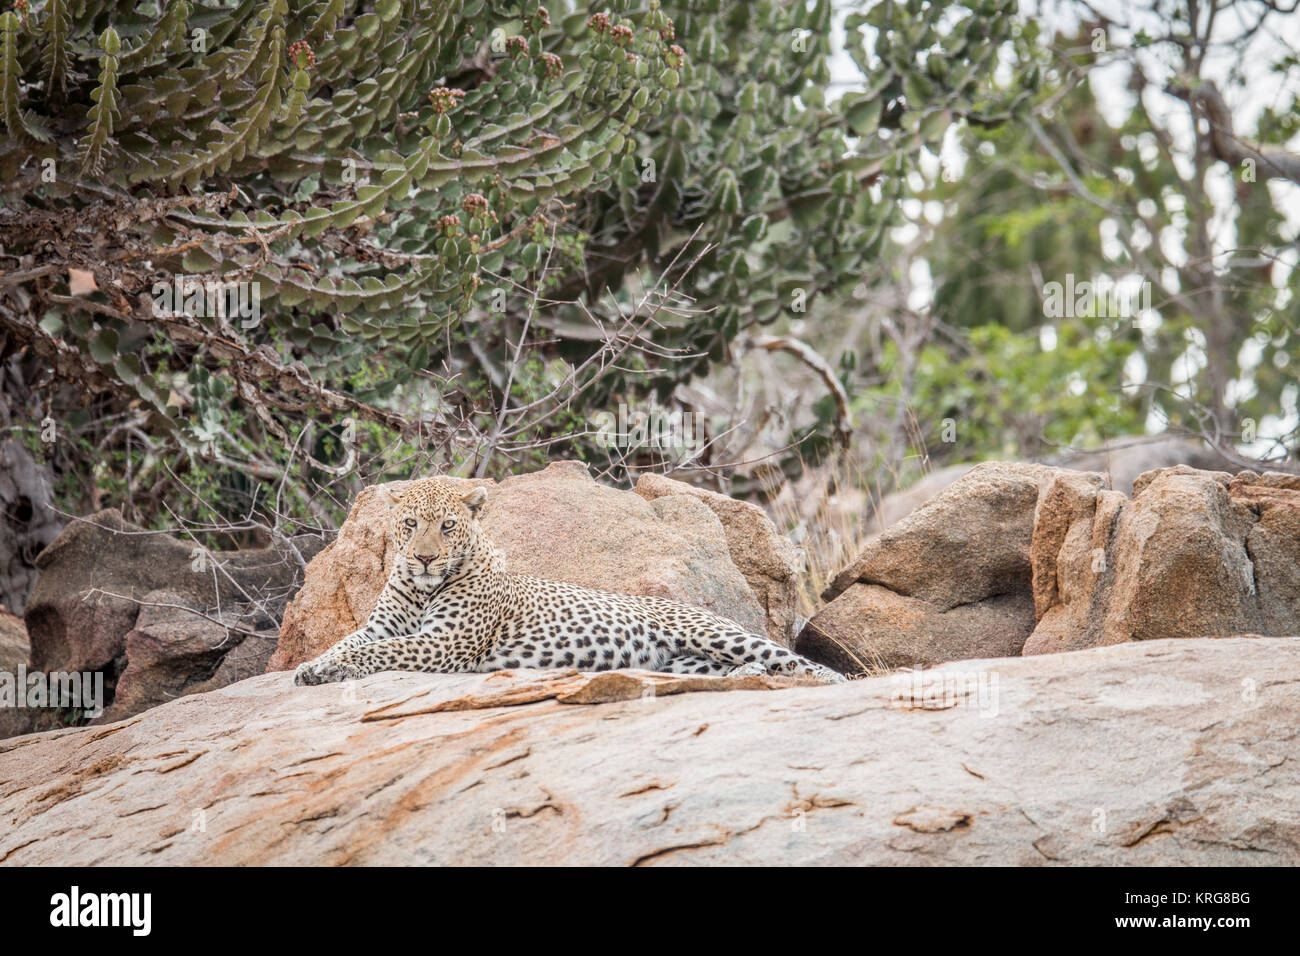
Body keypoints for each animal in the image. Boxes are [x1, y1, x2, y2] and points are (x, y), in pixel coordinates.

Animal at [293, 477, 847, 686]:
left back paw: (813, 678)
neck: (424, 586)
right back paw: (746, 676)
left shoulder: (444, 643)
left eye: (447, 526)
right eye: (410, 524)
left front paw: (331, 668)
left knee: (805, 664)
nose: (425, 558)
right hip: (686, 662)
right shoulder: (383, 626)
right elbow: (351, 641)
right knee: (739, 668)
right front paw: (313, 666)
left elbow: (378, 652)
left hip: (712, 632)